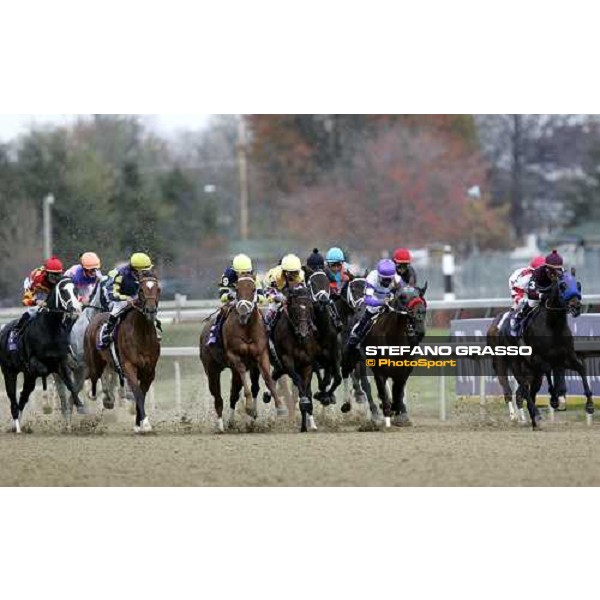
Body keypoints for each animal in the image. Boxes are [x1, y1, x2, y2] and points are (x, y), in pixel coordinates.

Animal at [0, 278, 84, 434]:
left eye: (76, 290)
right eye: (63, 291)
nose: (76, 308)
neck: (49, 329)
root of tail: (3, 330)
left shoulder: (61, 362)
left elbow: (71, 385)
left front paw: (81, 406)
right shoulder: (34, 363)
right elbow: (44, 370)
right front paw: (47, 404)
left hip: (28, 377)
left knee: (23, 397)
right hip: (9, 371)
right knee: (13, 398)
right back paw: (17, 427)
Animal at [83, 274, 162, 434]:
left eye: (158, 289)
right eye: (141, 290)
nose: (151, 311)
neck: (142, 333)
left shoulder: (149, 371)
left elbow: (142, 394)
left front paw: (138, 424)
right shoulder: (129, 366)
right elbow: (137, 392)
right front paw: (145, 423)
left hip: (110, 364)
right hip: (95, 361)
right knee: (92, 377)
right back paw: (94, 395)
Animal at [199, 276, 288, 432]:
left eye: (253, 289)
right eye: (237, 289)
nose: (243, 309)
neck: (246, 328)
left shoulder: (261, 355)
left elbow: (267, 379)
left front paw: (280, 407)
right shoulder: (234, 356)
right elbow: (243, 378)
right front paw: (250, 408)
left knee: (234, 394)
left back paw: (232, 422)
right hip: (211, 369)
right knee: (217, 396)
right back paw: (221, 425)